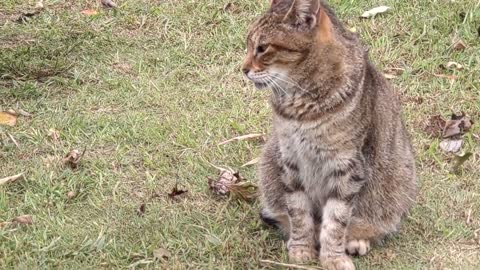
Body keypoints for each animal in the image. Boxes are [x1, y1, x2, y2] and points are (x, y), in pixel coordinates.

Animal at [242, 0, 418, 270]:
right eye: (249, 45)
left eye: (262, 48)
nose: (243, 69)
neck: (299, 104)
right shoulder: (290, 159)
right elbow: (298, 212)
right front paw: (301, 248)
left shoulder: (347, 166)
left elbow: (336, 220)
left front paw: (332, 257)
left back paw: (356, 241)